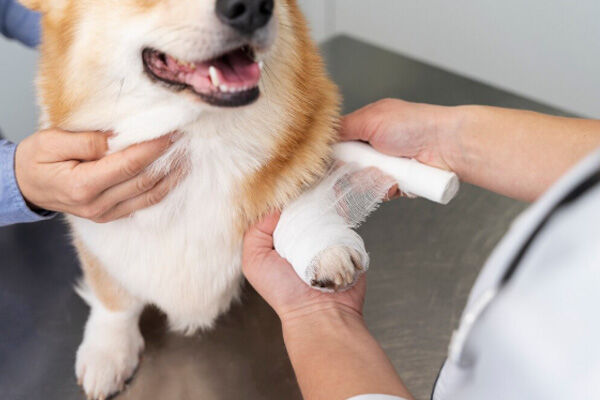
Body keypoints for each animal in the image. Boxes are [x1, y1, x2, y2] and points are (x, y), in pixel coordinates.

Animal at [20, 0, 368, 398]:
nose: (253, 8)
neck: (198, 139)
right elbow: (112, 297)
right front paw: (108, 350)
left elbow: (298, 192)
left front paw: (326, 249)